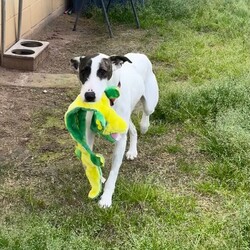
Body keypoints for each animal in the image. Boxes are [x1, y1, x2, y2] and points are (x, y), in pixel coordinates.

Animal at [70, 52, 158, 207]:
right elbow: (90, 158)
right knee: (133, 129)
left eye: (103, 72)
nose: (89, 95)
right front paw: (98, 178)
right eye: (84, 71)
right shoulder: (89, 134)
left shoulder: (120, 141)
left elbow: (114, 172)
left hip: (149, 102)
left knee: (146, 113)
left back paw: (144, 125)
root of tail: (140, 54)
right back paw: (132, 151)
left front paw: (106, 198)